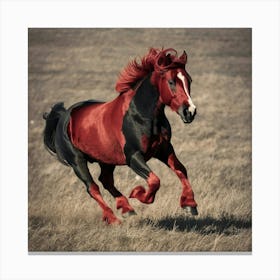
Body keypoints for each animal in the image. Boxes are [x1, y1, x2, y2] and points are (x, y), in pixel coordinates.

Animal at [42, 47, 198, 224]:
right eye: (171, 81)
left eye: (189, 80)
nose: (190, 112)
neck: (140, 115)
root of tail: (63, 117)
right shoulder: (133, 156)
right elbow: (154, 180)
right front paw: (138, 193)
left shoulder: (163, 149)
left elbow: (181, 169)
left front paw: (190, 204)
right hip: (77, 161)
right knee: (92, 187)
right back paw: (113, 219)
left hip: (106, 160)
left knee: (105, 181)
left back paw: (127, 209)